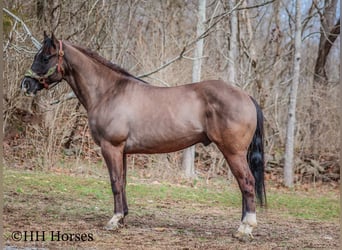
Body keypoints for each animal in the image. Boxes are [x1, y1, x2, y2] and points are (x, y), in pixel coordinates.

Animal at [20, 32, 268, 239]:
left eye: (45, 57)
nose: (26, 84)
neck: (108, 92)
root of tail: (246, 96)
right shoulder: (122, 151)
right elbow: (123, 182)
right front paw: (123, 218)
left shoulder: (111, 147)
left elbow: (115, 182)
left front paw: (114, 220)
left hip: (233, 152)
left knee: (247, 182)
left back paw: (245, 228)